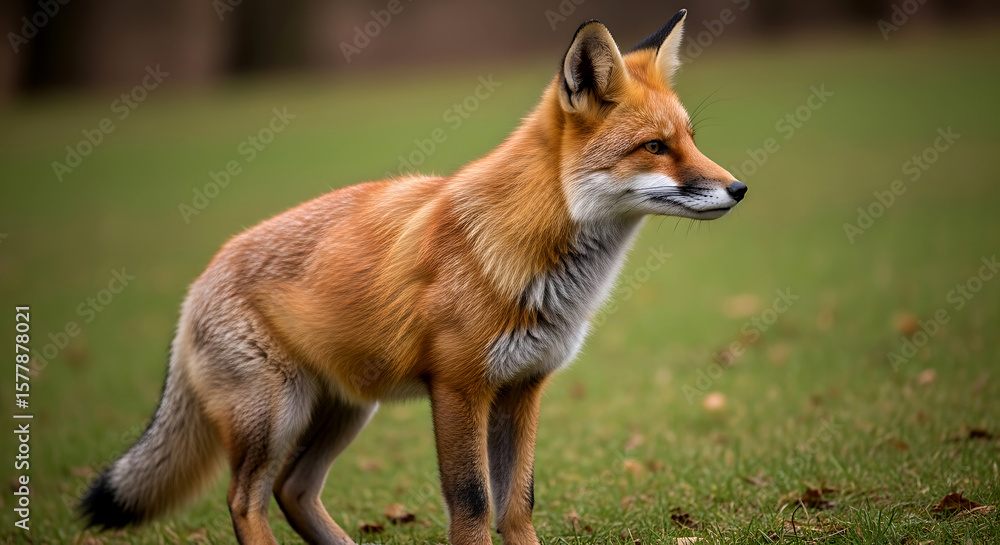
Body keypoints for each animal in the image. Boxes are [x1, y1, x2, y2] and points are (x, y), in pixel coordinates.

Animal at [81, 9, 746, 545]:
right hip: (274, 415)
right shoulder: (458, 388)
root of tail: (201, 277)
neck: (526, 254)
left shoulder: (523, 388)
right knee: (245, 500)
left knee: (293, 490)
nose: (739, 188)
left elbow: (518, 506)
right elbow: (473, 507)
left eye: (691, 139)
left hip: (347, 410)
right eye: (654, 147)